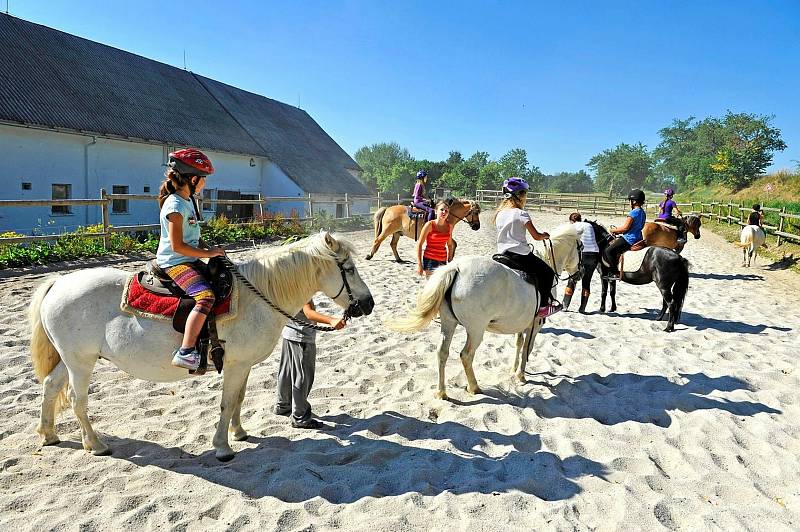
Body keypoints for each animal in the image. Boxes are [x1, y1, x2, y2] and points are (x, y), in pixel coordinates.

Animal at [27, 233, 372, 462]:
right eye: (349, 269)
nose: (367, 304)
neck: (256, 297)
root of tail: (58, 283)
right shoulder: (235, 365)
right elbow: (226, 403)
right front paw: (223, 447)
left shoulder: (242, 365)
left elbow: (238, 400)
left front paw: (240, 433)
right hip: (80, 362)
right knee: (77, 399)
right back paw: (95, 444)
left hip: (68, 358)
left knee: (50, 386)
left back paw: (49, 435)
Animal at [382, 224, 580, 400]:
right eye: (580, 248)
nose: (578, 275)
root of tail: (456, 268)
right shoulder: (535, 324)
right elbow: (527, 348)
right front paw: (521, 375)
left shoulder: (521, 323)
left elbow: (519, 345)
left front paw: (513, 370)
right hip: (476, 330)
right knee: (466, 355)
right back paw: (474, 387)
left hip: (448, 323)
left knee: (442, 353)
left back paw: (442, 392)